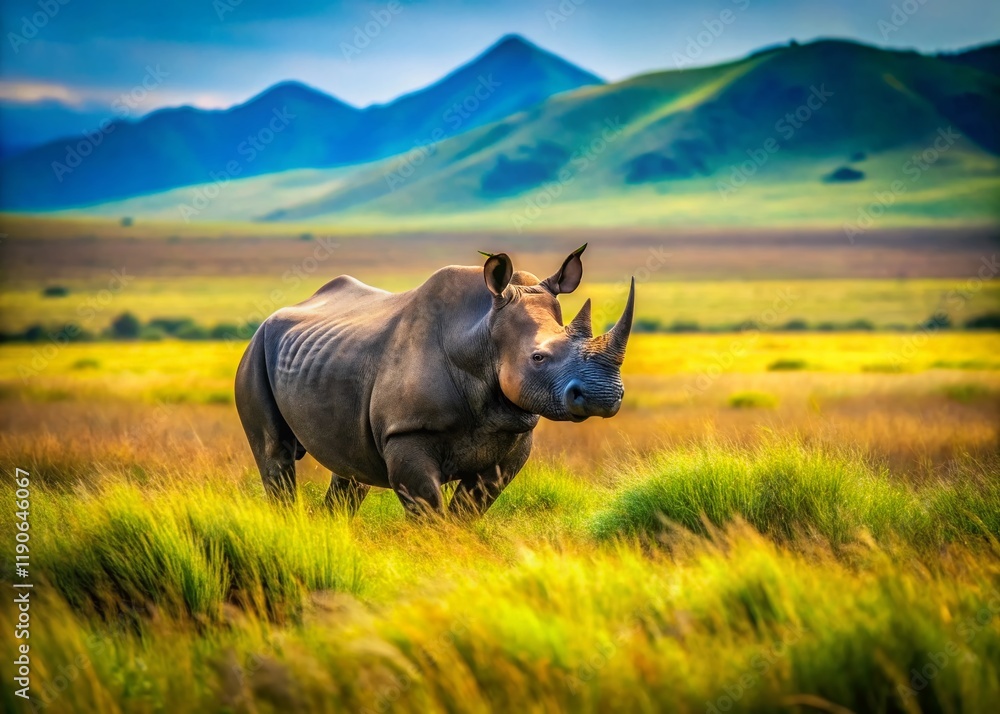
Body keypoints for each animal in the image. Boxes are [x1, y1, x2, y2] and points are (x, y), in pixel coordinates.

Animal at [235, 245, 634, 517]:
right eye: (538, 358)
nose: (603, 397)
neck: (480, 337)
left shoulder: (513, 433)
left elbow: (464, 513)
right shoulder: (406, 431)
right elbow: (430, 514)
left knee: (349, 471)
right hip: (255, 351)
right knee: (275, 457)